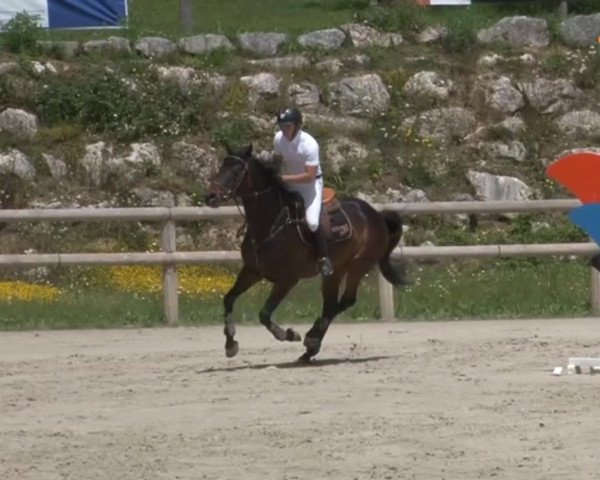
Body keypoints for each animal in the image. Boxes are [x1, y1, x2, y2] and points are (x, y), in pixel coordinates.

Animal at [205, 144, 408, 362]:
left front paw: (288, 334)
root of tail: (376, 215)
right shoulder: (252, 271)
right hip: (336, 271)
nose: (210, 197)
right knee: (330, 304)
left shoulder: (288, 279)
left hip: (358, 266)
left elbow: (264, 314)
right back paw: (311, 348)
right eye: (221, 166)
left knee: (344, 301)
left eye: (236, 172)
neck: (270, 224)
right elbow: (229, 299)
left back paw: (311, 338)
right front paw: (230, 343)